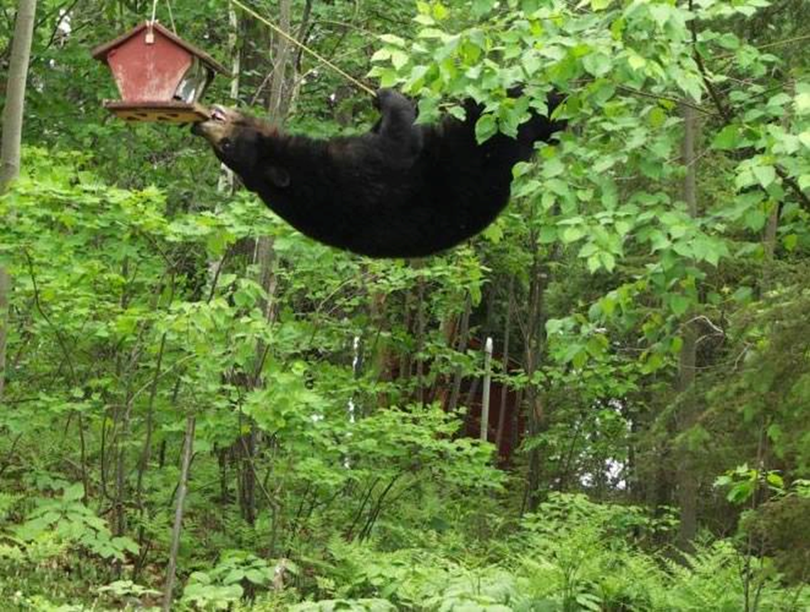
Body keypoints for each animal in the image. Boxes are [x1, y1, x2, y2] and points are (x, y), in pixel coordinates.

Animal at [193, 88, 564, 256]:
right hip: (489, 147)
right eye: (225, 147)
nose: (200, 127)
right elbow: (401, 142)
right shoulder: (355, 173)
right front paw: (390, 98)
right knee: (516, 116)